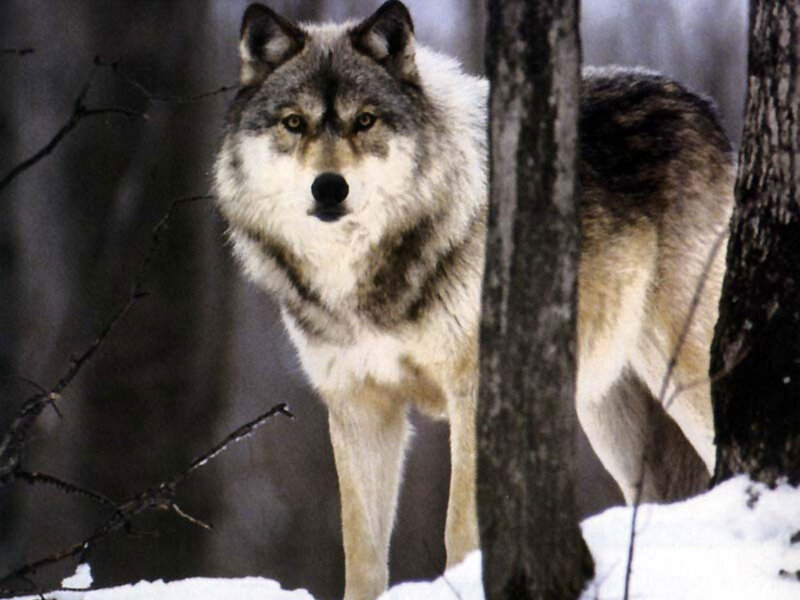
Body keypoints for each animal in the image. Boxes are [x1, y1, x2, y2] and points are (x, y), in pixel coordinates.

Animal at [214, 2, 734, 599]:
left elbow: (461, 528)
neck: (363, 280)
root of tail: (699, 102)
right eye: (294, 123)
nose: (329, 187)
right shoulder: (359, 405)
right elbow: (362, 553)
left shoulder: (474, 392)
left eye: (365, 120)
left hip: (684, 372)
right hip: (607, 411)